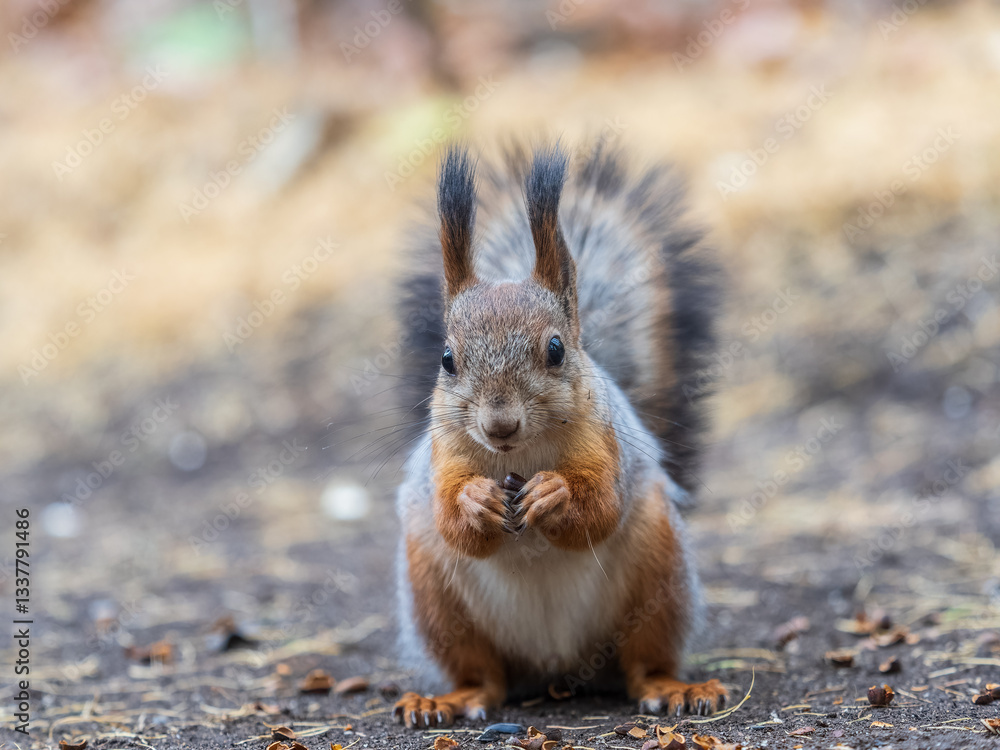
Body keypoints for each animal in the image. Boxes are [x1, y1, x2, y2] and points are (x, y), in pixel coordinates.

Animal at [391, 143, 725, 728]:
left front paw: (555, 493)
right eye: (447, 358)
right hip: (434, 594)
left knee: (643, 662)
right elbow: (454, 523)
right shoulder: (443, 453)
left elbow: (600, 510)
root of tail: (556, 668)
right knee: (483, 678)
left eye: (555, 349)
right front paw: (476, 501)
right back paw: (447, 700)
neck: (521, 454)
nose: (499, 425)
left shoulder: (605, 441)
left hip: (658, 573)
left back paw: (673, 688)